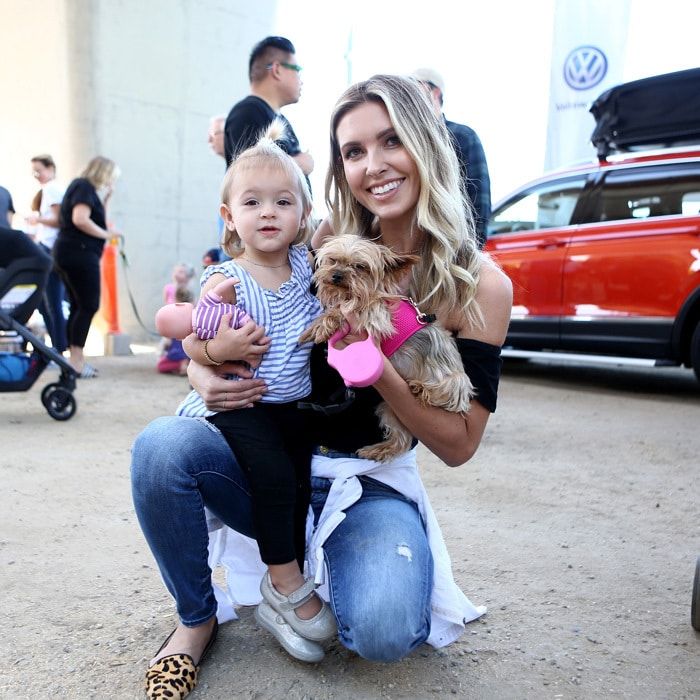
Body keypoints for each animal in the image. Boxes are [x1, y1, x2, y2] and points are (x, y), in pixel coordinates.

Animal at [298, 235, 474, 462]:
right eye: (333, 260)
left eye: (360, 267)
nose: (336, 275)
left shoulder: (374, 316)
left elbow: (343, 310)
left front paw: (322, 325)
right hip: (390, 408)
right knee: (401, 440)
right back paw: (378, 450)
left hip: (454, 383)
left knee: (444, 397)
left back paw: (422, 388)